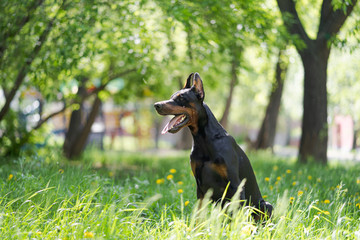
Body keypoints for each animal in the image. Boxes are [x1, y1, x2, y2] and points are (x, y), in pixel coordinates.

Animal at [153, 72, 272, 219]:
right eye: (171, 96)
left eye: (181, 98)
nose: (156, 105)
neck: (204, 140)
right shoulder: (201, 188)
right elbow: (198, 217)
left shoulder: (235, 185)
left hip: (266, 205)